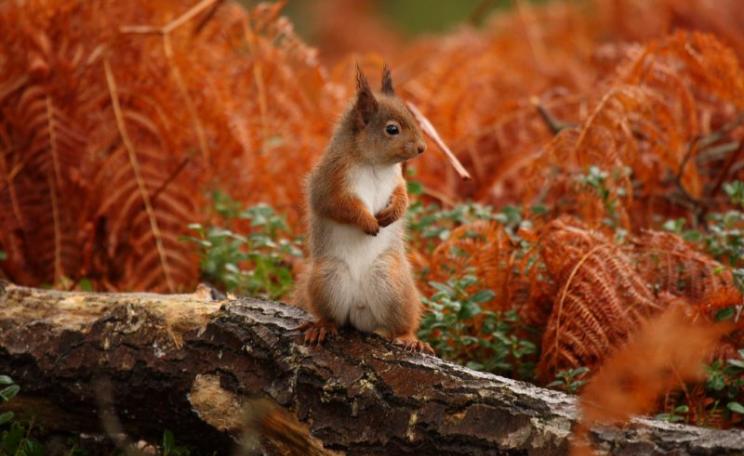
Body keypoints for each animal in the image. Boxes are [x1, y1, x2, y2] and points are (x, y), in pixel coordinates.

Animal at [293, 64, 433, 353]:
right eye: (392, 129)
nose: (422, 148)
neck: (375, 164)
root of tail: (359, 312)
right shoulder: (331, 182)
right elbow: (340, 206)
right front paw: (368, 221)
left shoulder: (397, 180)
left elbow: (402, 196)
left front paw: (394, 213)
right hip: (328, 278)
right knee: (333, 318)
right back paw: (323, 327)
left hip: (393, 283)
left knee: (400, 324)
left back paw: (409, 338)